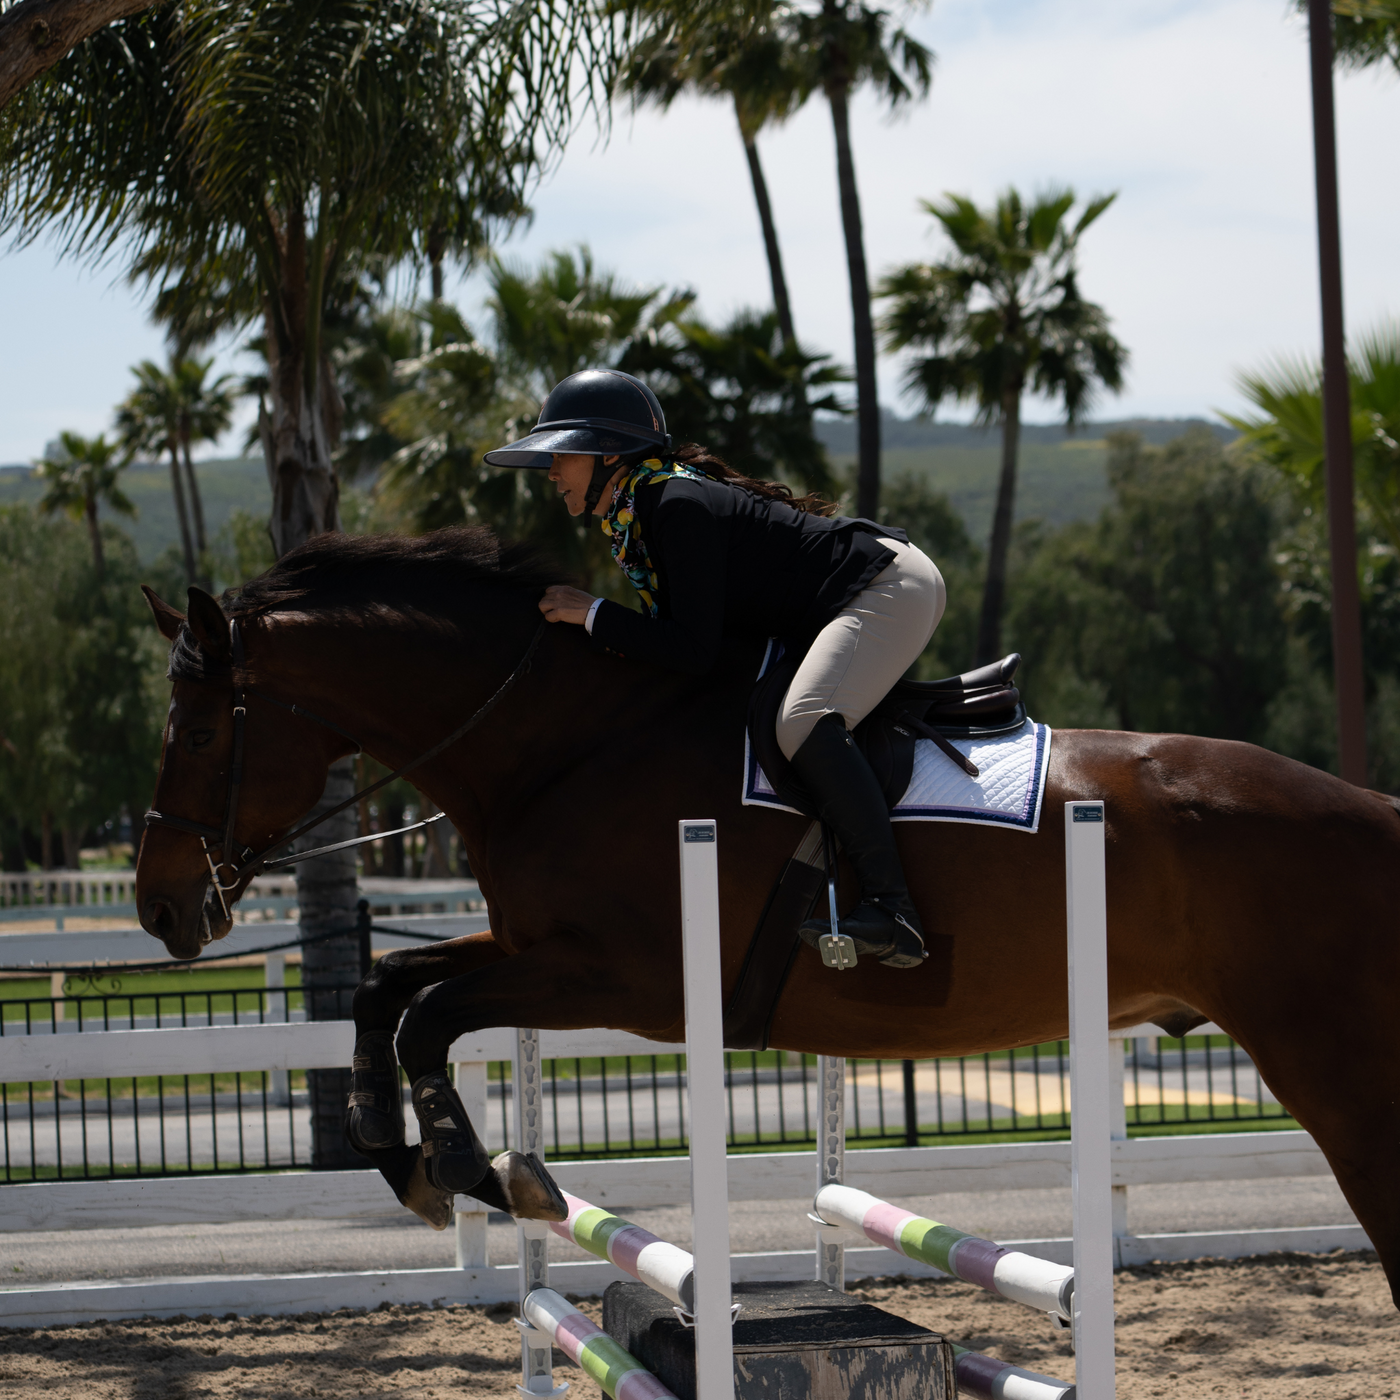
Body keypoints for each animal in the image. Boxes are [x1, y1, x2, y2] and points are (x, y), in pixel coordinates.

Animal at [133, 529, 1400, 1304]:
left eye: (193, 731)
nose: (157, 906)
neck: (569, 742)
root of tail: (1375, 809)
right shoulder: (537, 947)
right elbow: (385, 989)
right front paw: (409, 1160)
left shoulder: (624, 978)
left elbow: (428, 1013)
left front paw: (485, 1175)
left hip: (1337, 1067)